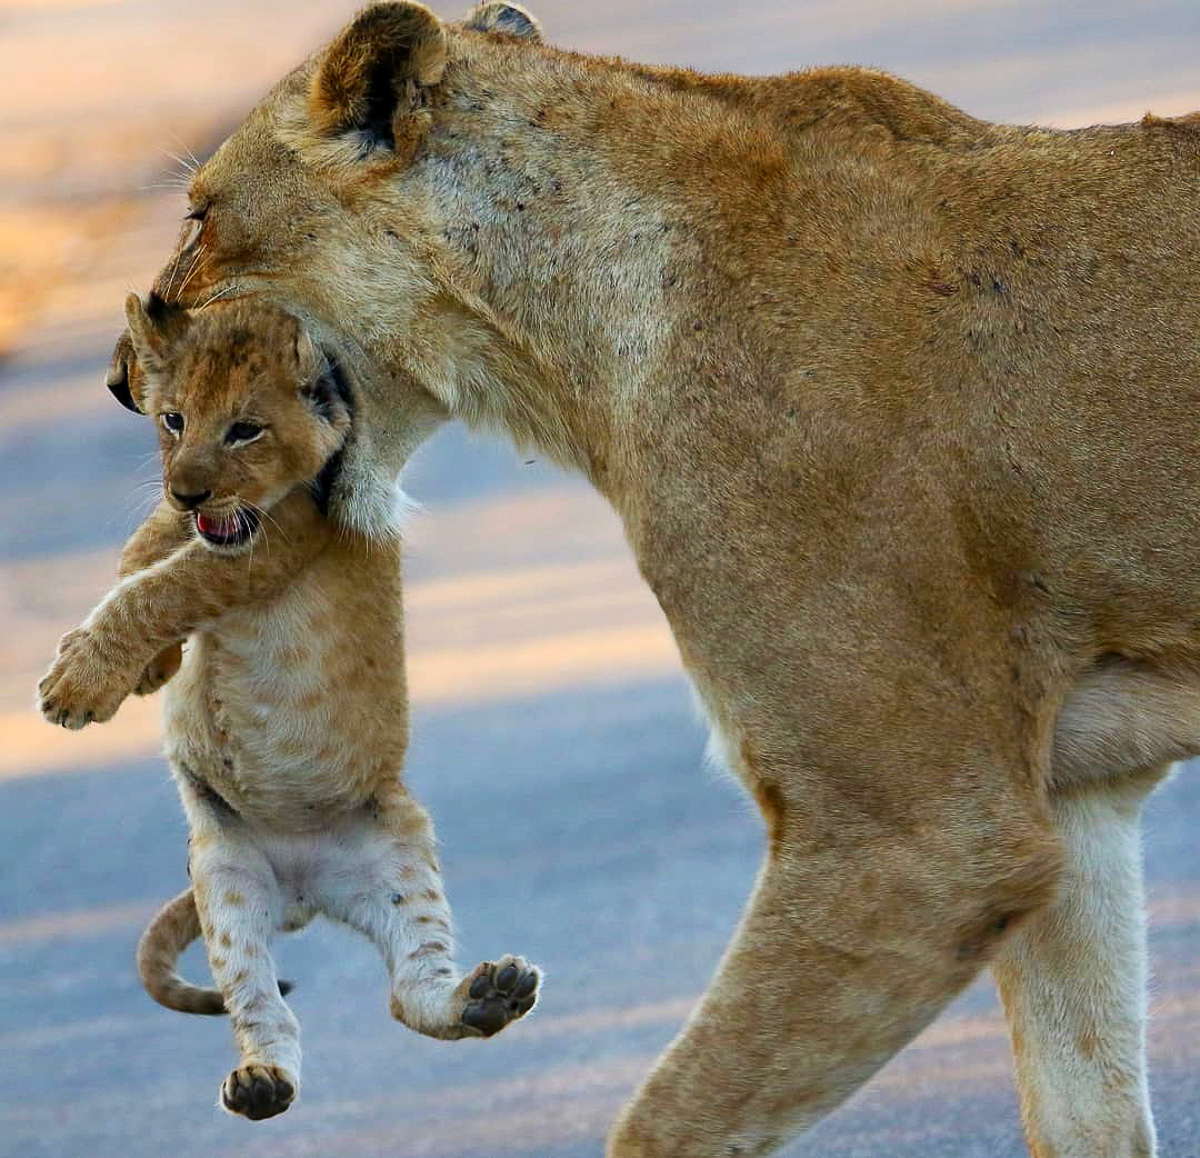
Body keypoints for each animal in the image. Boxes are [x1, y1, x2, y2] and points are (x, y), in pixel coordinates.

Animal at [40, 293, 540, 1121]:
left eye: (245, 429)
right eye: (172, 420)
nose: (187, 490)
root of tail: (307, 892)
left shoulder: (271, 545)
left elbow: (155, 590)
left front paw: (75, 687)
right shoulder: (187, 527)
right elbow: (138, 559)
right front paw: (148, 670)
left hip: (401, 853)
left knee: (410, 987)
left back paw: (488, 997)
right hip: (225, 882)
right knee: (261, 1004)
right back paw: (261, 1084)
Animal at [101, 2, 1200, 1154]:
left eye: (201, 217)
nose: (120, 381)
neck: (573, 341)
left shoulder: (926, 833)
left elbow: (670, 1120)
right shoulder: (1069, 806)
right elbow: (1082, 1110)